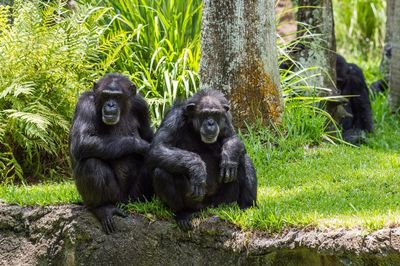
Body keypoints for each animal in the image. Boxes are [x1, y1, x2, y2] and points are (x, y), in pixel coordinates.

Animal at [69, 72, 154, 233]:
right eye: (106, 95)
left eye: (117, 97)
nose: (110, 105)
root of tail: (124, 202)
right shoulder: (85, 103)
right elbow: (82, 140)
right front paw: (141, 145)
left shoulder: (142, 106)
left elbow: (148, 134)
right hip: (114, 196)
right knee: (91, 163)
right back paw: (103, 208)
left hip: (135, 196)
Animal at [148, 89, 258, 231]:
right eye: (204, 114)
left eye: (215, 114)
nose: (210, 123)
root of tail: (207, 209)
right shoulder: (173, 117)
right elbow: (159, 147)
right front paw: (197, 168)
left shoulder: (226, 118)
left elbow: (233, 138)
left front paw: (229, 157)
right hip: (195, 202)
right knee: (161, 173)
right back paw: (183, 214)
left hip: (223, 201)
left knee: (244, 159)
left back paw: (247, 207)